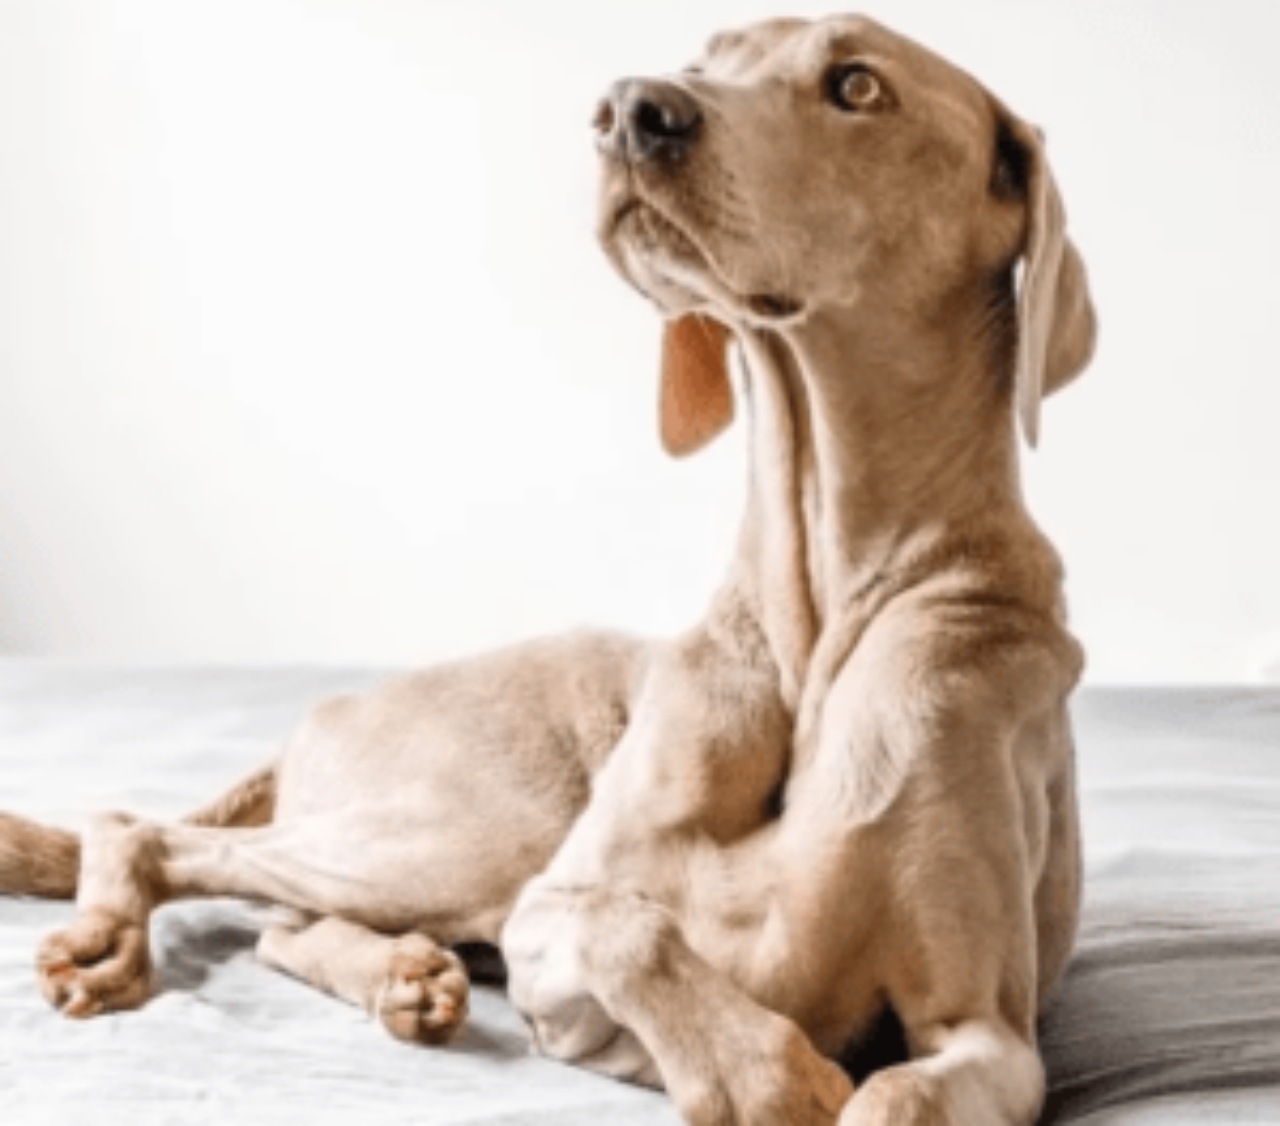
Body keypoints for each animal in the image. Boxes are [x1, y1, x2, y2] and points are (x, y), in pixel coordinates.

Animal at [2, 11, 1100, 1126]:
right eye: (707, 59)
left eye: (859, 85)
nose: (631, 109)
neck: (823, 613)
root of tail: (331, 706)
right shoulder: (548, 930)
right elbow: (628, 924)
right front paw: (764, 1073)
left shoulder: (991, 1035)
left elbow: (897, 1096)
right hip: (476, 830)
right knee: (149, 833)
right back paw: (125, 941)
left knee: (269, 917)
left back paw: (401, 974)